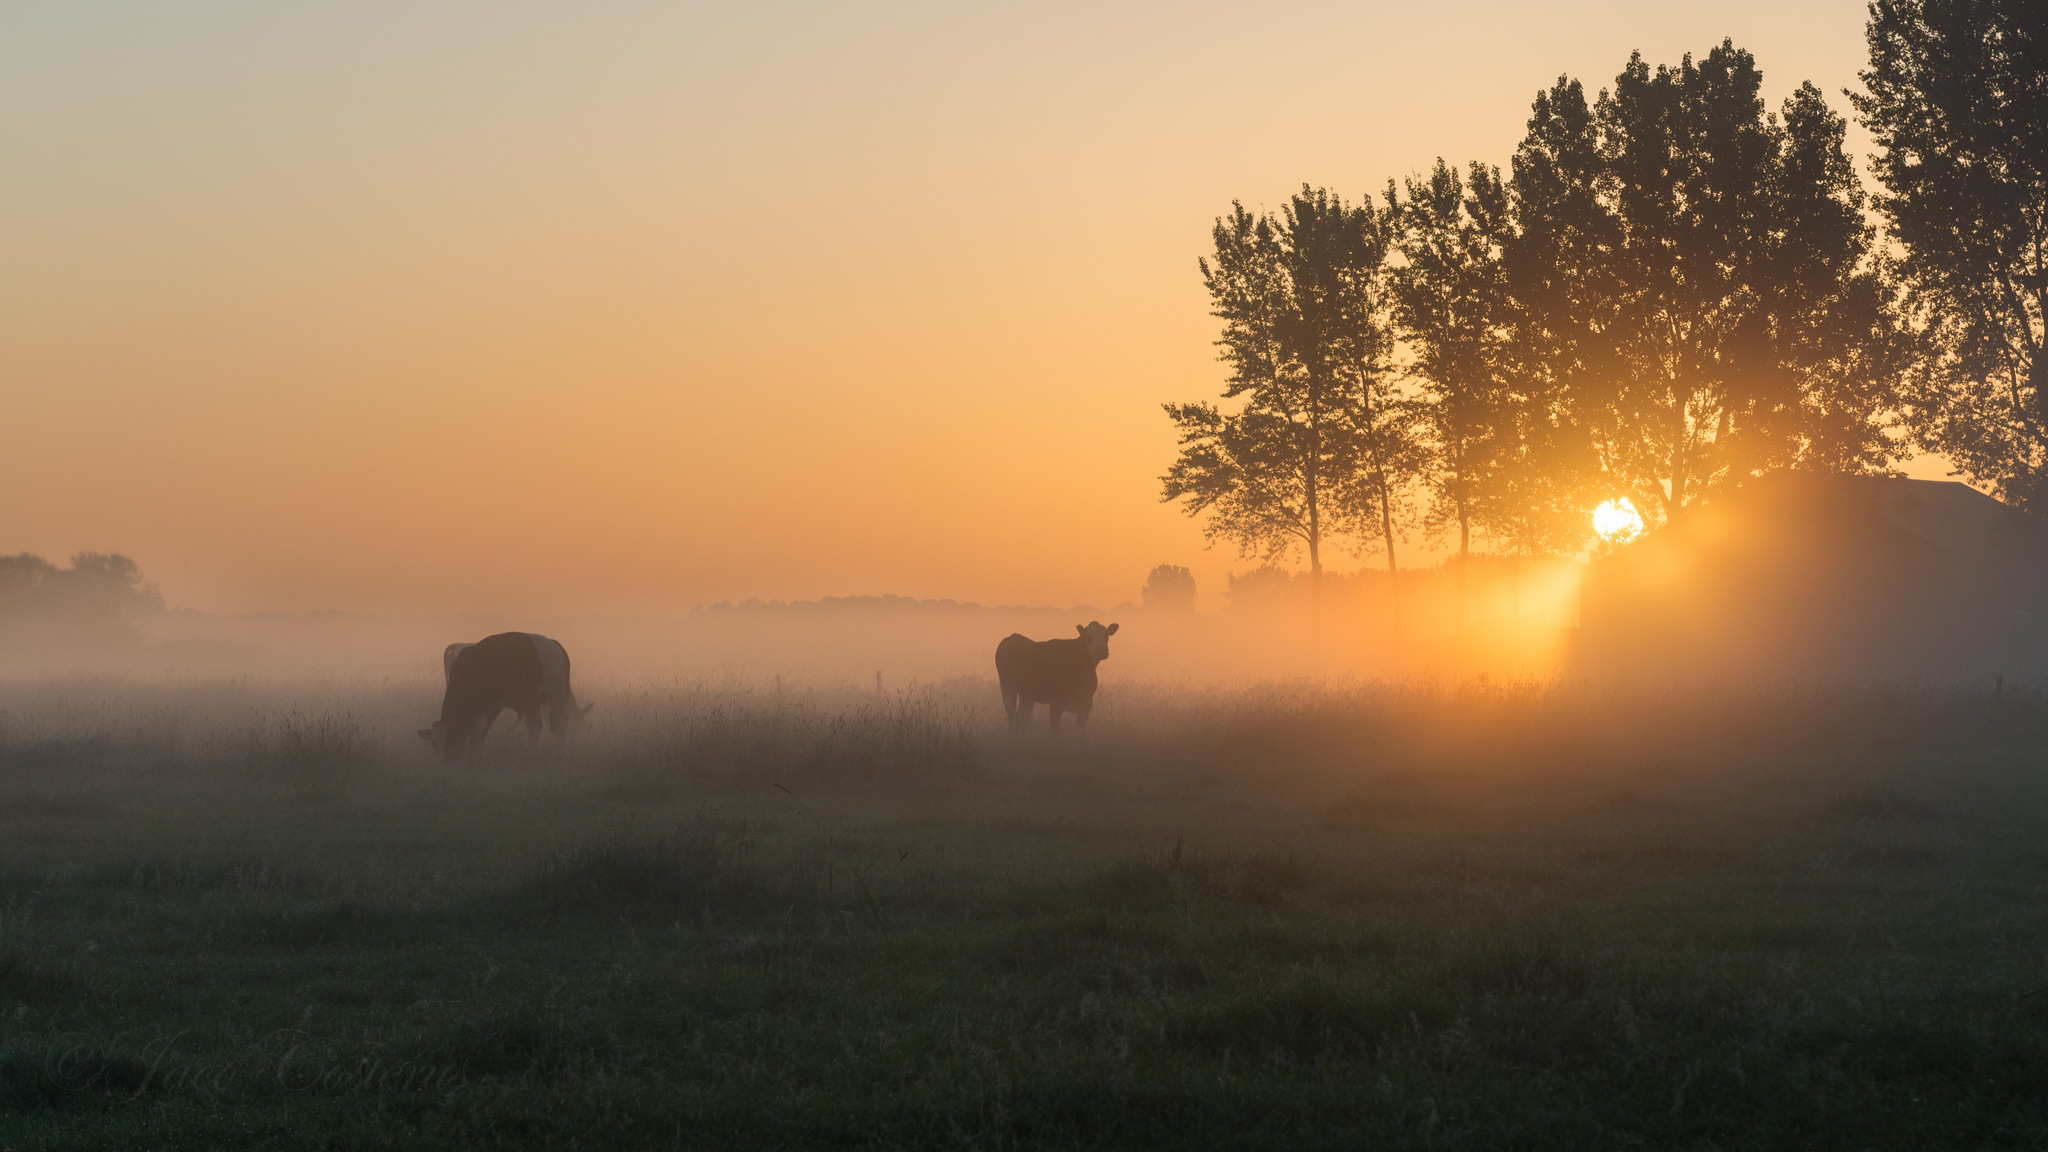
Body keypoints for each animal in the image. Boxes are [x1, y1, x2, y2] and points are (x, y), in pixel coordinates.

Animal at [417, 627, 593, 754]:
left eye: (452, 739)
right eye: (435, 745)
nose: (448, 762)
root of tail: (554, 644)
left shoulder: (488, 706)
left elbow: (477, 734)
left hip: (554, 697)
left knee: (555, 726)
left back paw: (553, 751)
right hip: (533, 702)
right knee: (538, 727)